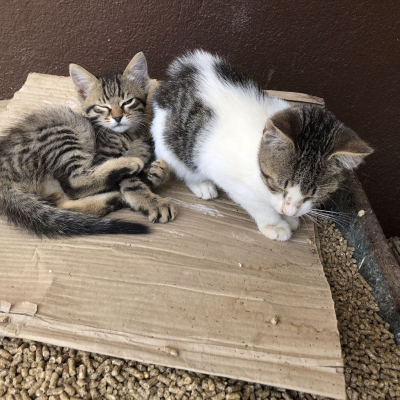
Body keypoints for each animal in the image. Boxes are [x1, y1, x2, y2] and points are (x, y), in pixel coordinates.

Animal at [0, 52, 176, 237]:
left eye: (127, 102)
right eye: (102, 107)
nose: (118, 117)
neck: (130, 135)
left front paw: (156, 173)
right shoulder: (103, 155)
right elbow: (130, 182)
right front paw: (152, 202)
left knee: (63, 201)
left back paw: (112, 199)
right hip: (63, 132)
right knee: (74, 183)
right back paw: (127, 166)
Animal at [151, 50, 373, 241]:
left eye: (313, 195)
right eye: (279, 185)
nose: (288, 210)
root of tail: (180, 73)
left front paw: (289, 217)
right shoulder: (227, 174)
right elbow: (256, 204)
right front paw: (274, 223)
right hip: (172, 143)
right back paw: (201, 184)